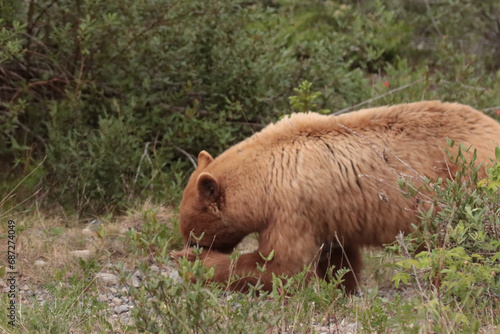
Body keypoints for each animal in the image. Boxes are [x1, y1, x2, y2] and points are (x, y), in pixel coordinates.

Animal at [171, 101, 500, 292]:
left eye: (196, 236)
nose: (188, 245)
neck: (263, 177)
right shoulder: (332, 213)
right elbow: (338, 259)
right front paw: (343, 290)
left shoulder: (290, 208)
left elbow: (283, 266)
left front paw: (192, 262)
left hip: (468, 186)